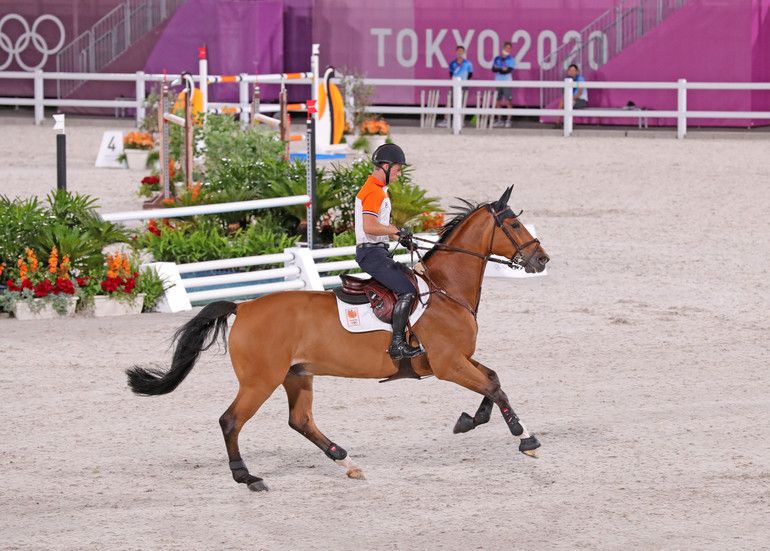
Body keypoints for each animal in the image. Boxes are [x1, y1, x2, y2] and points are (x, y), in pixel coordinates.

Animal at [126, 188, 544, 494]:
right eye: (514, 224)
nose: (542, 259)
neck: (446, 290)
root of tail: (243, 307)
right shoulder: (447, 364)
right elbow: (494, 386)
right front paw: (525, 439)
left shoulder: (457, 359)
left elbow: (493, 380)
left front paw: (469, 421)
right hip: (261, 381)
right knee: (231, 421)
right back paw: (247, 476)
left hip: (297, 374)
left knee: (300, 420)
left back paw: (347, 461)